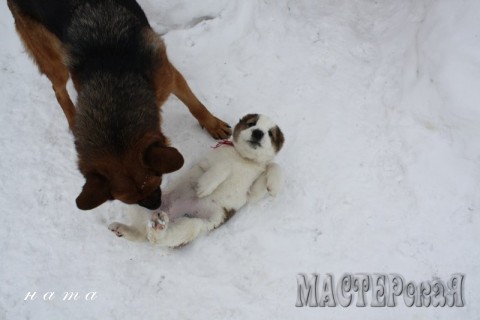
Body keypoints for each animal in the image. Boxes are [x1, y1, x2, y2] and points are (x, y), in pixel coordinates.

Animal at [6, 1, 232, 211]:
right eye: (129, 201)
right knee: (59, 91)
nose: (156, 207)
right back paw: (73, 120)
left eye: (155, 183)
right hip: (54, 60)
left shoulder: (169, 77)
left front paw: (213, 125)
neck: (113, 82)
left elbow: (195, 105)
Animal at [109, 114, 284, 246]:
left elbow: (273, 166)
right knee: (146, 235)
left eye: (270, 133)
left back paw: (147, 228)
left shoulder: (251, 193)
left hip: (191, 224)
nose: (258, 132)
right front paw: (204, 187)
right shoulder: (206, 163)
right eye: (251, 124)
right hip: (142, 202)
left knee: (151, 236)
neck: (244, 158)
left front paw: (273, 187)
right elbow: (224, 165)